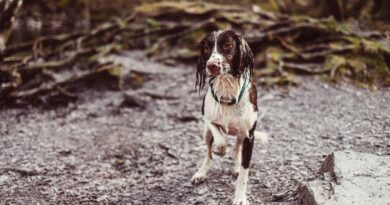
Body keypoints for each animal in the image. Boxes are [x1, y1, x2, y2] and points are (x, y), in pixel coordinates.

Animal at [191, 30, 268, 205]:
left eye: (227, 45)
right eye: (207, 47)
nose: (211, 65)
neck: (227, 90)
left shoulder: (249, 136)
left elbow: (244, 173)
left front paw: (240, 198)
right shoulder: (207, 118)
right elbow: (219, 138)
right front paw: (220, 149)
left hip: (241, 135)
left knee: (237, 149)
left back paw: (235, 166)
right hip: (206, 134)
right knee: (208, 155)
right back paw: (201, 172)